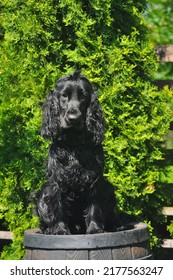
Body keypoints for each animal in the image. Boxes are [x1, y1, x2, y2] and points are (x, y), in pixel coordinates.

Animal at [36, 71, 117, 234]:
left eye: (83, 96)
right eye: (64, 96)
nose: (73, 118)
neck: (73, 142)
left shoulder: (95, 179)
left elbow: (94, 207)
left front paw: (95, 229)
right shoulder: (55, 181)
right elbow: (57, 207)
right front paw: (60, 230)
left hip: (109, 189)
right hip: (40, 196)